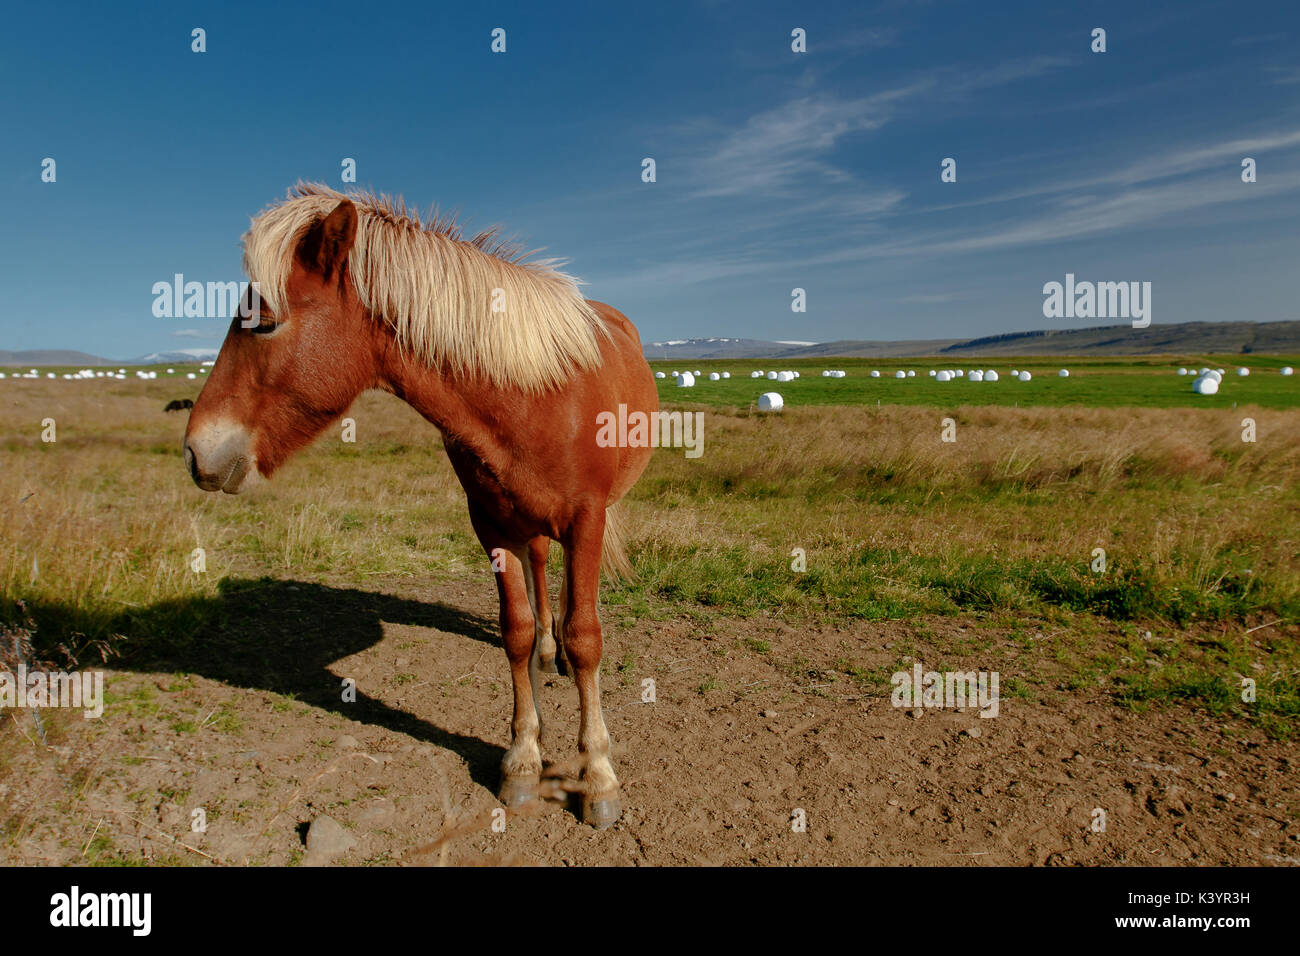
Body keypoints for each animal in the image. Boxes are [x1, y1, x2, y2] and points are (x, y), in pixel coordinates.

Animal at [183, 183, 657, 828]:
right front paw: (522, 759)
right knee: (540, 571)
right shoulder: (492, 525)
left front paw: (600, 778)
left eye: (266, 324)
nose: (195, 451)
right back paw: (546, 651)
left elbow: (587, 637)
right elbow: (515, 631)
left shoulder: (587, 519)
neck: (537, 394)